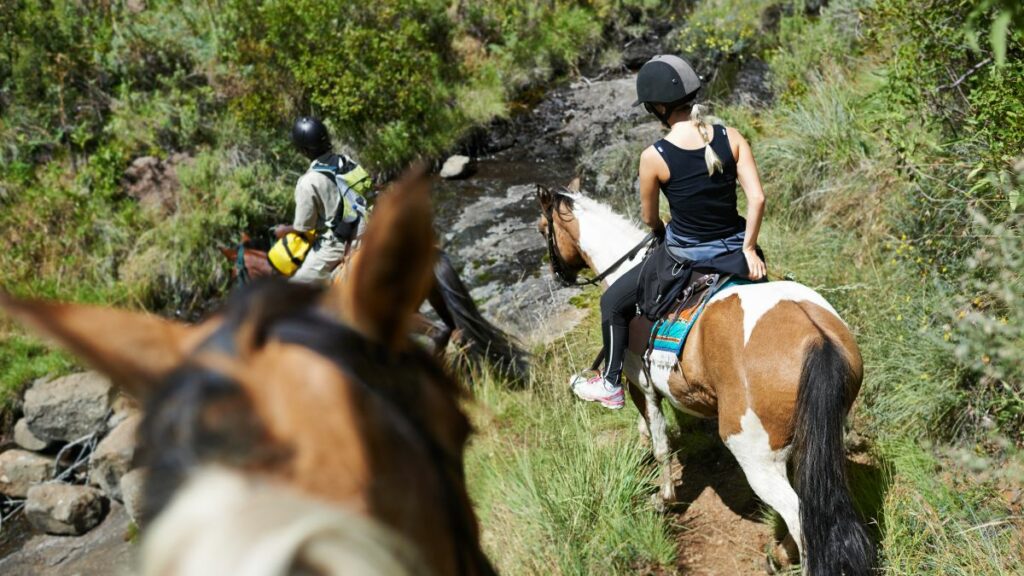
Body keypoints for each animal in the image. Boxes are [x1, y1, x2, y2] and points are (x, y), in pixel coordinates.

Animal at [536, 188, 872, 573]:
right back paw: (781, 552)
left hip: (755, 455)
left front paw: (664, 498)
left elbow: (661, 445)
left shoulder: (642, 387)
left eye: (543, 227)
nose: (556, 274)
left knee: (799, 516)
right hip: (815, 440)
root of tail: (816, 337)